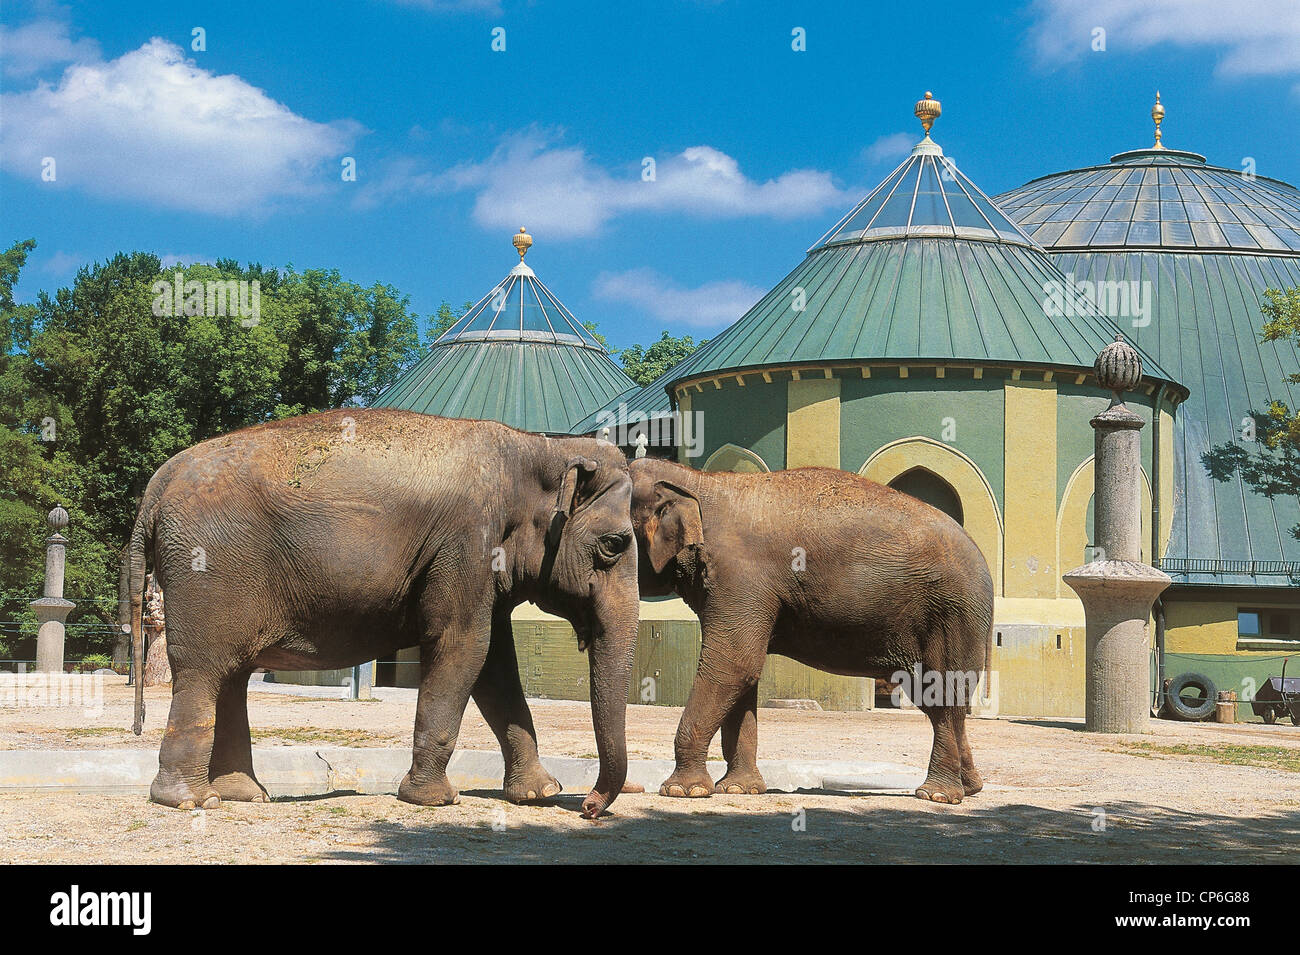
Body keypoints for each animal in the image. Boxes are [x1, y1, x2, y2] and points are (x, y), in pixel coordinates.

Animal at [120, 407, 639, 815]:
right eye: (614, 545)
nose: (588, 807)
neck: (537, 448)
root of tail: (156, 486)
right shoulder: (466, 545)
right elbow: (464, 648)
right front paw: (436, 799)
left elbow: (497, 666)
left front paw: (539, 794)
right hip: (206, 571)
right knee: (203, 672)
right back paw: (191, 801)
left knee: (231, 675)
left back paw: (244, 796)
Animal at [631, 454, 993, 805]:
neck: (699, 480)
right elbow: (743, 674)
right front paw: (738, 789)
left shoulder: (740, 576)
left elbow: (733, 664)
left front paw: (683, 791)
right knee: (933, 698)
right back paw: (970, 786)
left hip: (952, 612)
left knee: (944, 690)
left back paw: (938, 795)